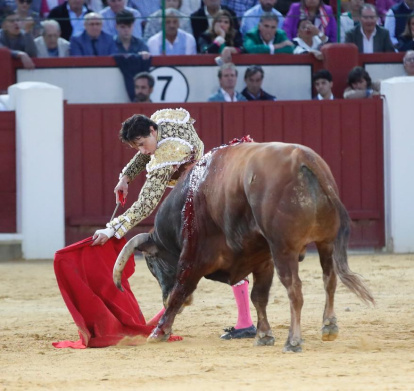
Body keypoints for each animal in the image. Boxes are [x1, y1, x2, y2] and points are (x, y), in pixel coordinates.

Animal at [111, 142, 374, 356]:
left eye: (152, 264)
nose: (162, 299)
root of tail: (304, 159)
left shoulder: (194, 257)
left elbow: (180, 290)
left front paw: (159, 332)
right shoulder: (262, 260)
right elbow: (258, 296)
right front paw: (264, 335)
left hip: (284, 248)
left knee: (295, 290)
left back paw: (293, 341)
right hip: (325, 242)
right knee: (329, 280)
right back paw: (329, 327)